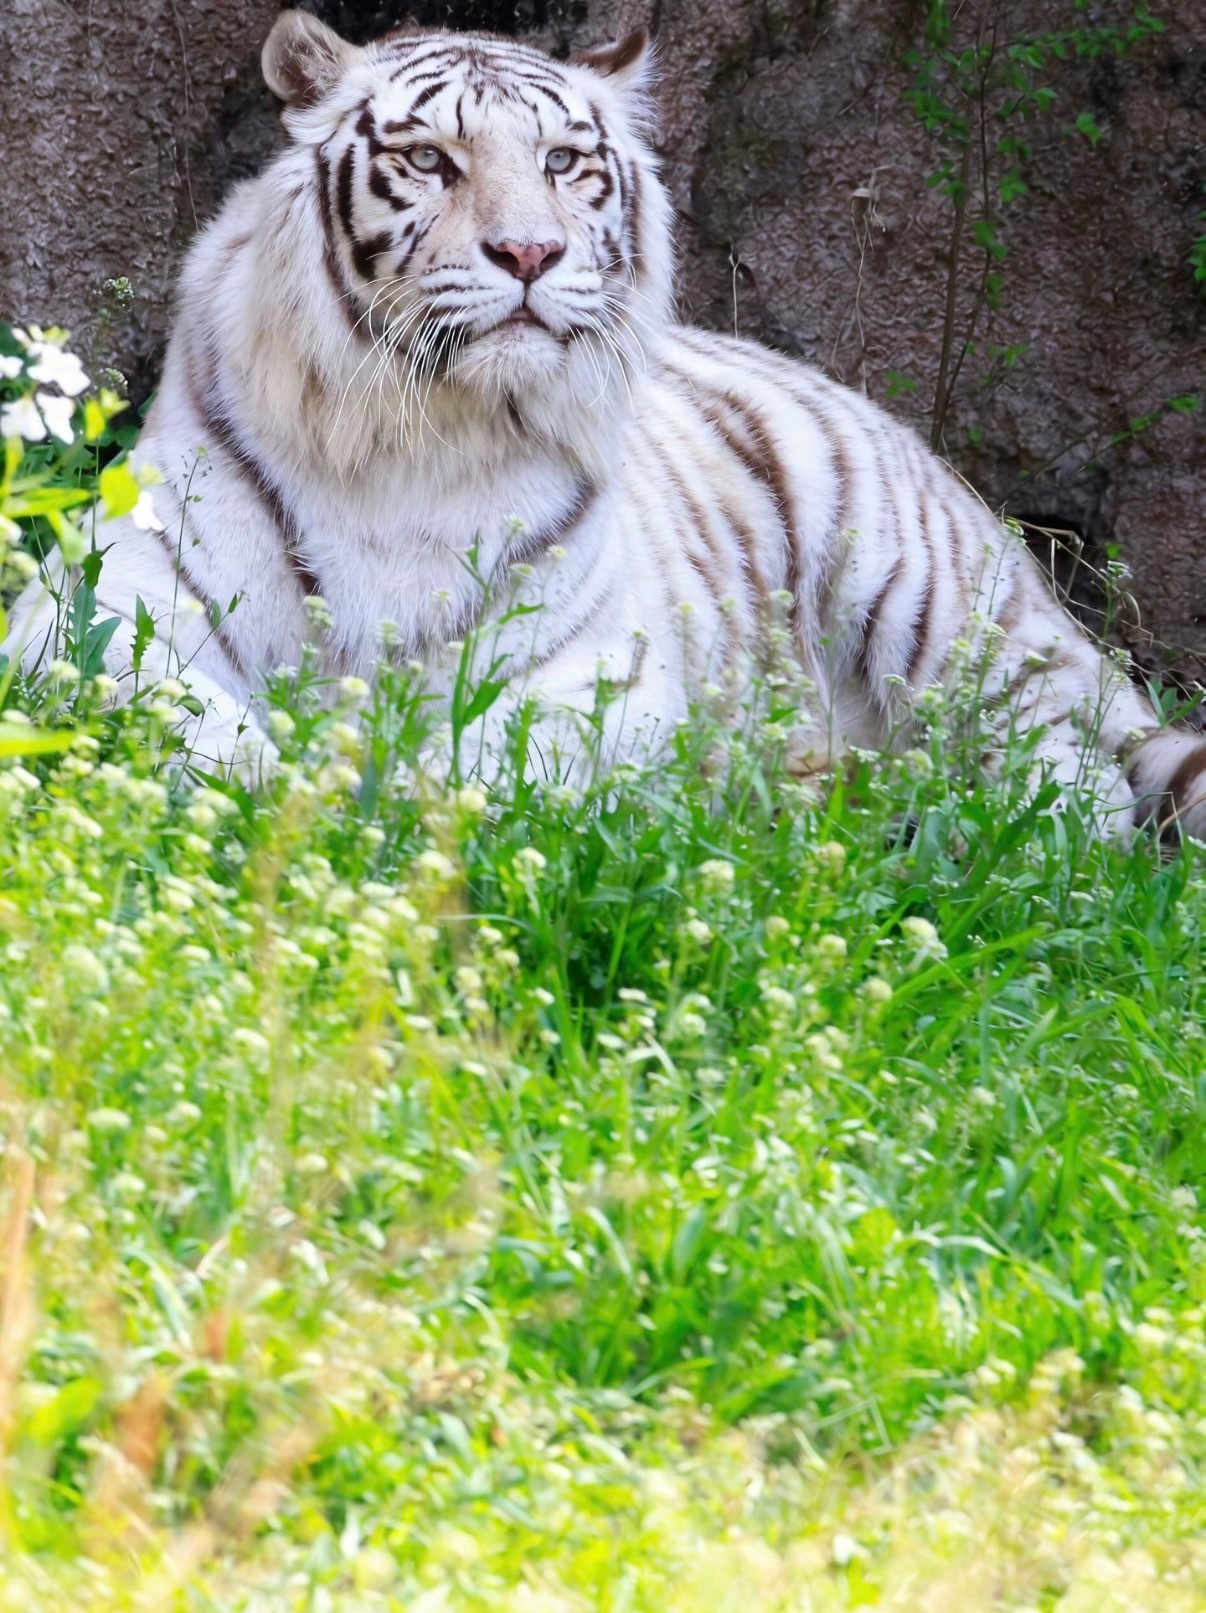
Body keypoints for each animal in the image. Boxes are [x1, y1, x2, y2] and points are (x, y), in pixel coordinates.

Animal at [7, 8, 1205, 837]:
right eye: (429, 159)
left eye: (563, 163)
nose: (530, 252)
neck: (420, 434)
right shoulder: (90, 611)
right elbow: (190, 723)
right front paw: (295, 790)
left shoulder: (590, 679)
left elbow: (484, 773)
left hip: (931, 598)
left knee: (1071, 791)